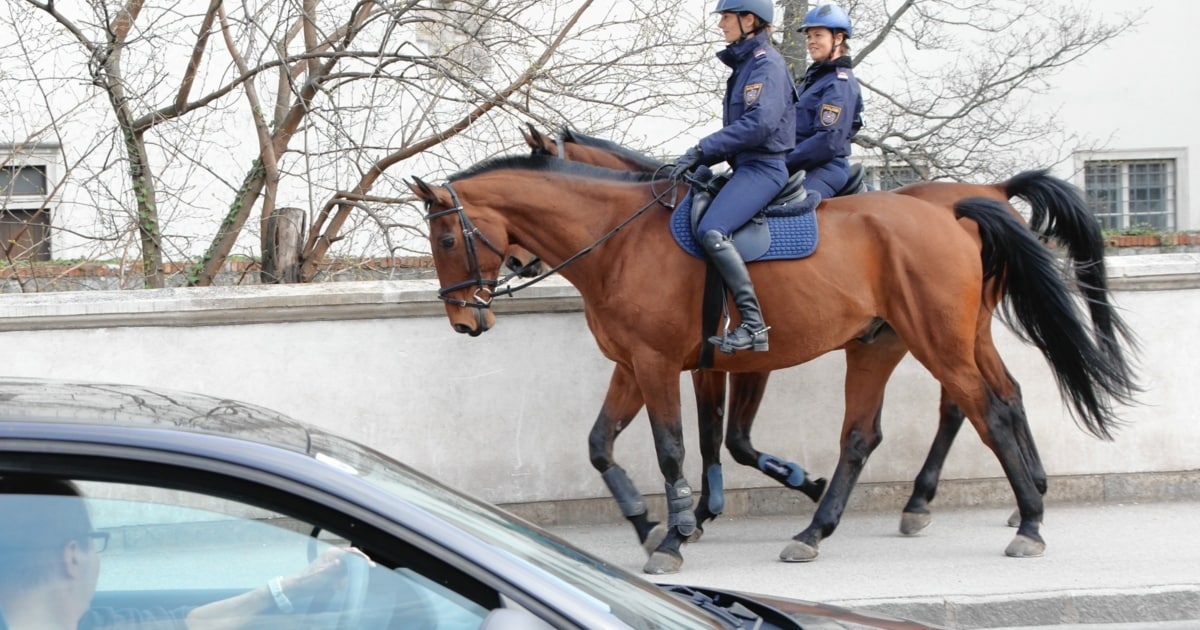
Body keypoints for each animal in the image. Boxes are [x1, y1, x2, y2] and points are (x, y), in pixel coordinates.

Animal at [410, 154, 1132, 571]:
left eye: (445, 238)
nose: (464, 319)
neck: (619, 240)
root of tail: (959, 208)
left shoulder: (663, 363)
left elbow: (679, 447)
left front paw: (674, 533)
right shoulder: (632, 366)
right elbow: (601, 444)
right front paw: (648, 521)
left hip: (940, 342)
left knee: (985, 411)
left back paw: (1025, 520)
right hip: (883, 344)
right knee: (874, 432)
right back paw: (818, 529)